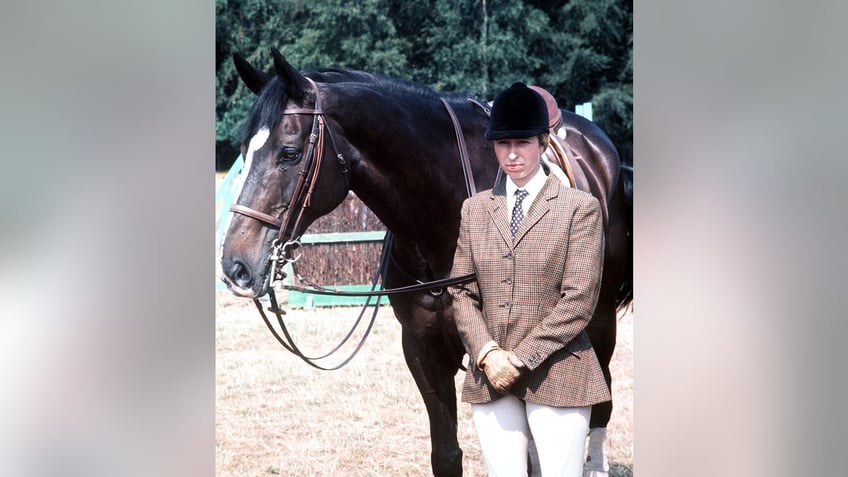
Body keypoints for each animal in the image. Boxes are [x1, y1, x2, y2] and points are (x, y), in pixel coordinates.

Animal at [219, 49, 628, 476]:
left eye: (290, 153)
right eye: (244, 154)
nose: (236, 266)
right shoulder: (422, 348)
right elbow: (446, 455)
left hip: (599, 324)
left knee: (600, 402)